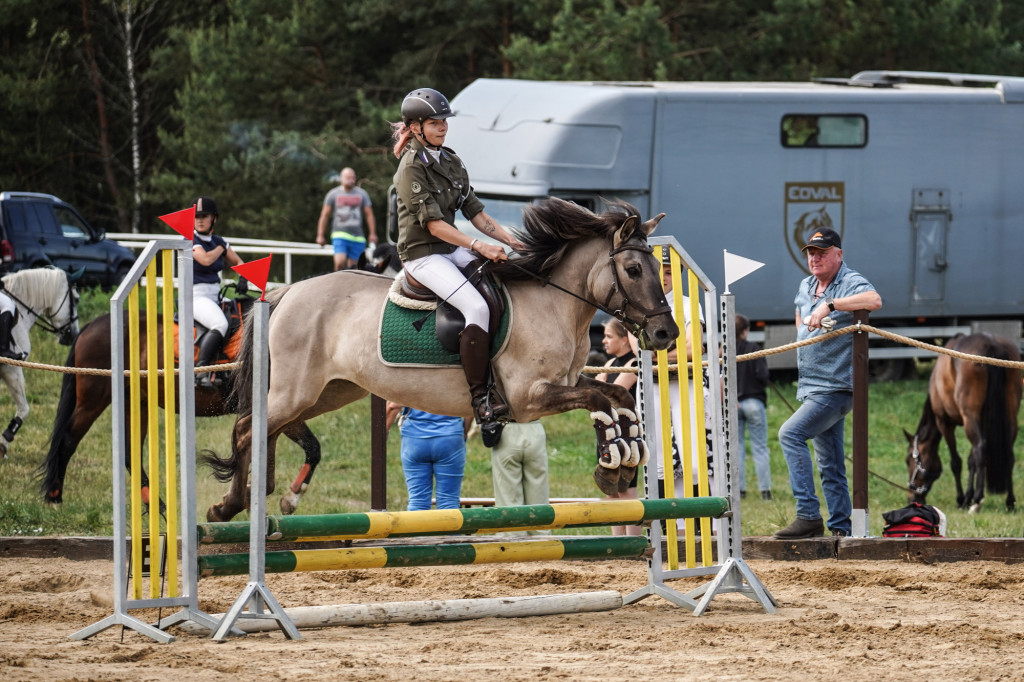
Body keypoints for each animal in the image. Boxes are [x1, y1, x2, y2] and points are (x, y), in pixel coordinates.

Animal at [38, 299, 319, 503]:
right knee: (67, 440)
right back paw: (54, 497)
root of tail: (91, 325)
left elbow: (311, 449)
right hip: (93, 400)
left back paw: (156, 506)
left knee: (130, 454)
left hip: (136, 402)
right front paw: (291, 497)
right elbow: (312, 447)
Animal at [202, 196, 675, 520]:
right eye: (634, 270)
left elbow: (617, 399)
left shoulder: (568, 383)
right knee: (247, 429)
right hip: (295, 391)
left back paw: (253, 497)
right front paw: (613, 463)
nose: (665, 333)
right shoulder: (529, 398)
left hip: (329, 392)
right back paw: (230, 506)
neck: (554, 303)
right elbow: (598, 401)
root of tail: (287, 292)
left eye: (657, 268)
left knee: (265, 429)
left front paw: (623, 460)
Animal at [909, 331, 1019, 512]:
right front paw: (968, 496)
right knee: (1008, 452)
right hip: (1010, 416)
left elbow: (957, 462)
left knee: (980, 449)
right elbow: (971, 461)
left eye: (908, 460)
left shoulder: (945, 423)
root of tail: (992, 344)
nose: (912, 496)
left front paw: (962, 499)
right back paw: (1009, 501)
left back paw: (978, 500)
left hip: (969, 418)